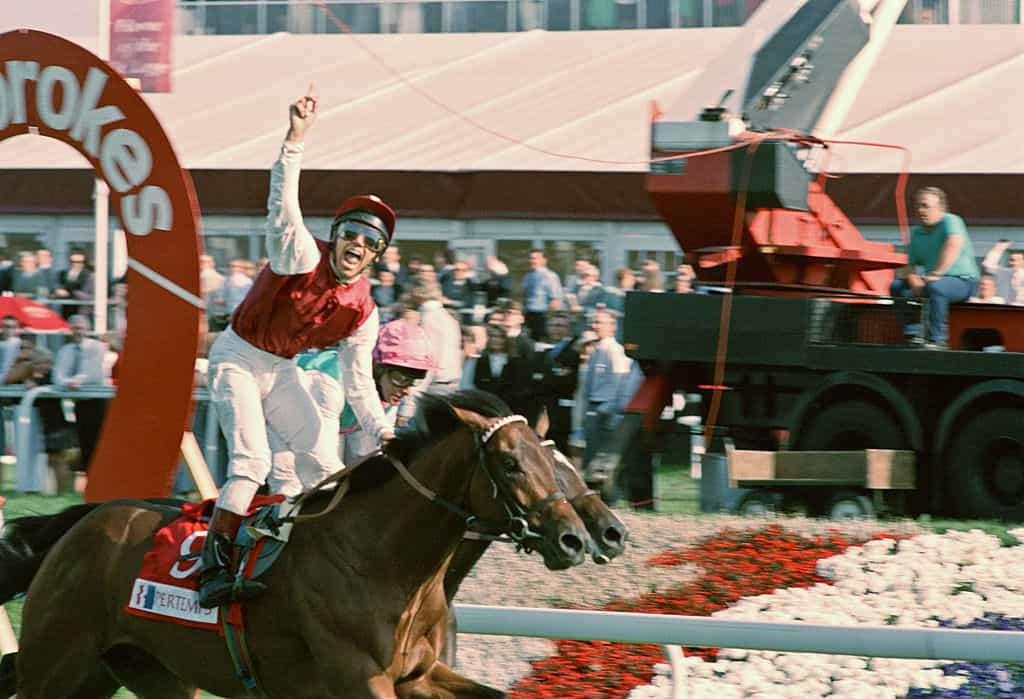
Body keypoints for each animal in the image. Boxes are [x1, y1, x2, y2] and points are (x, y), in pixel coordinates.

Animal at [0, 390, 589, 695]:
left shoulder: (420, 677)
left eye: (556, 462)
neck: (384, 561)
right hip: (59, 664)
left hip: (137, 671)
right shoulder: (359, 677)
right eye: (511, 464)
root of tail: (80, 523)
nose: (577, 539)